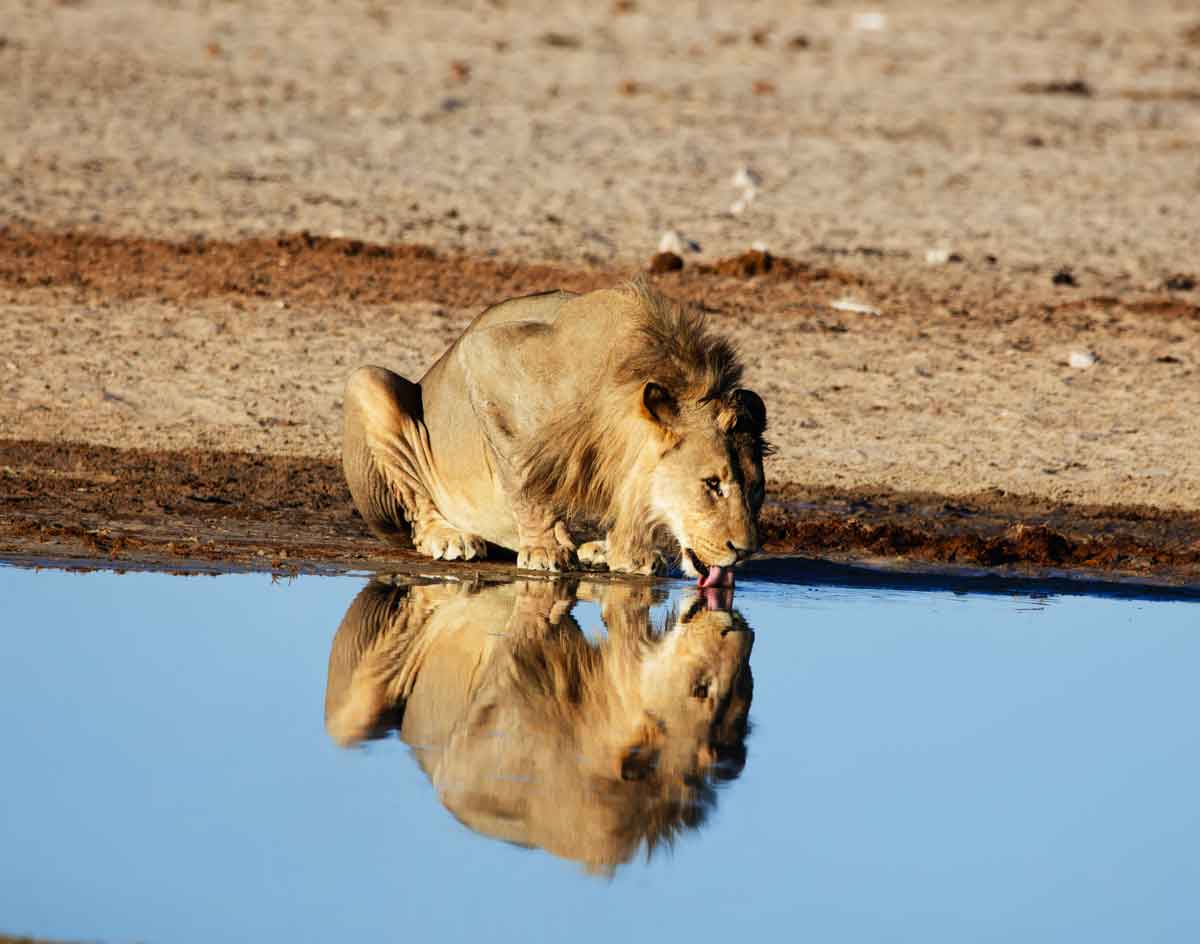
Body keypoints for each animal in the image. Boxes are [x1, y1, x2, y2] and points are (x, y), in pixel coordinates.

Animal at [338, 277, 768, 580]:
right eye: (712, 484)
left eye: (756, 489)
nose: (745, 551)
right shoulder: (485, 354)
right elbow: (524, 477)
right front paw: (546, 550)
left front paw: (630, 554)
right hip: (367, 379)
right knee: (416, 505)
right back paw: (449, 537)